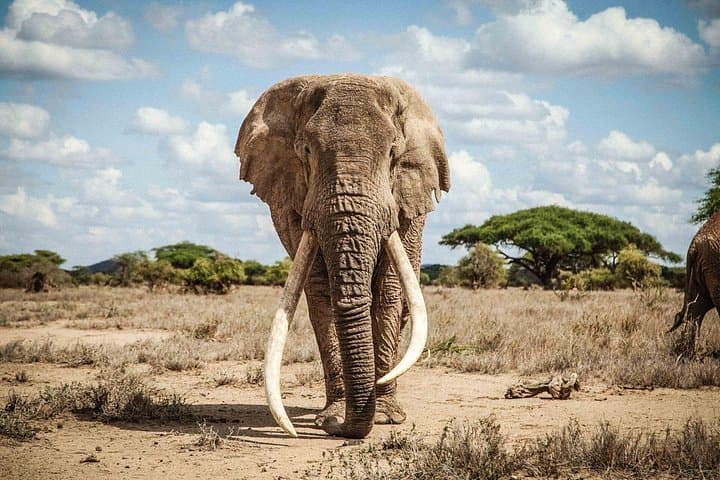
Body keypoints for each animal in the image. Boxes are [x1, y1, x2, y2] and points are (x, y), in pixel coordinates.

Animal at [234, 74, 450, 438]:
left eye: (393, 154)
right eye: (305, 151)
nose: (339, 428)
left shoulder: (407, 197)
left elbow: (389, 293)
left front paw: (386, 418)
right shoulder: (294, 203)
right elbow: (320, 295)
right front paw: (331, 417)